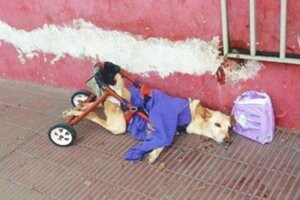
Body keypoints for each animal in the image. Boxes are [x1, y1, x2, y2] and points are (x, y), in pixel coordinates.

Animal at [62, 71, 232, 163]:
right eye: (217, 124)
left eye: (229, 128)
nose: (228, 140)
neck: (191, 114)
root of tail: (111, 93)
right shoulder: (165, 122)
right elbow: (164, 140)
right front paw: (153, 153)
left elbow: (160, 141)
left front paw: (153, 153)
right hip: (118, 126)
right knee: (92, 115)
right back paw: (71, 115)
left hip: (106, 108)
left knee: (93, 104)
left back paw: (79, 105)